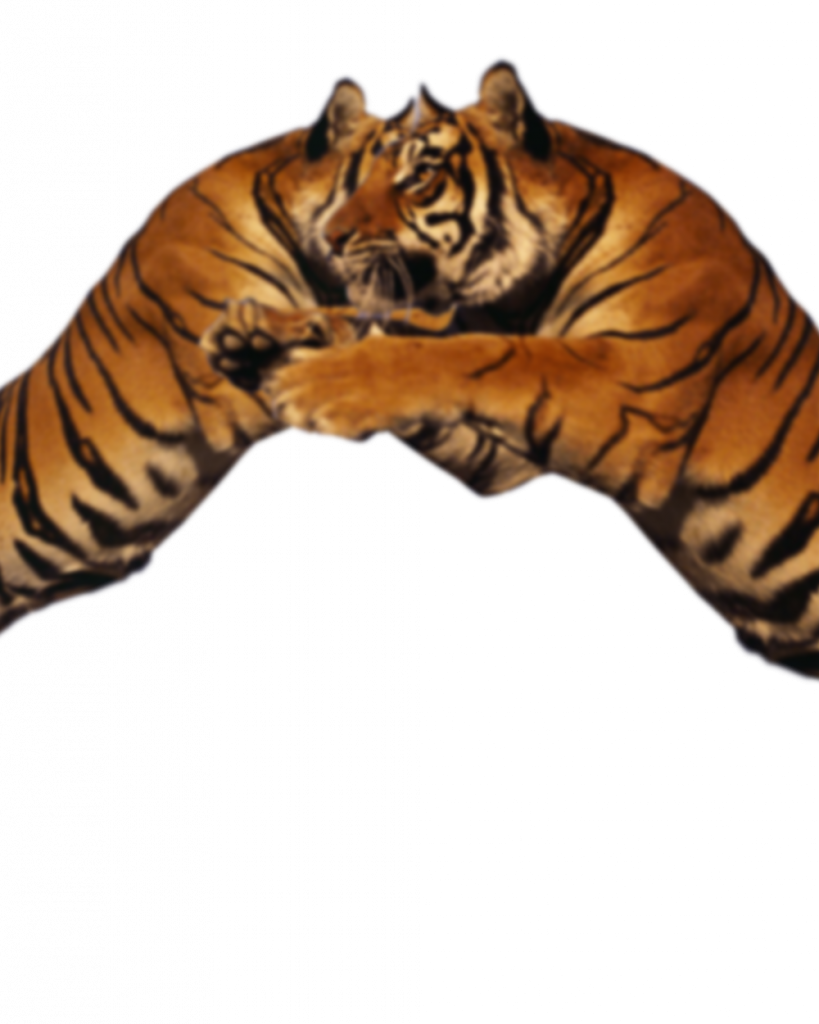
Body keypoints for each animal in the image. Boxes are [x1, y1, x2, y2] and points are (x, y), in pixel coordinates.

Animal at [0, 58, 816, 684]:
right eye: (376, 171)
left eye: (418, 176)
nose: (339, 235)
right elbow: (384, 326)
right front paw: (262, 333)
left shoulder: (626, 389)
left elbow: (464, 353)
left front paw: (306, 370)